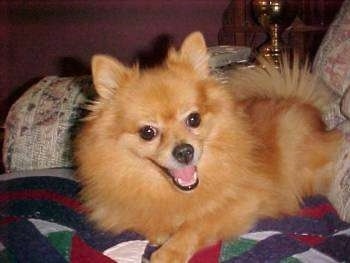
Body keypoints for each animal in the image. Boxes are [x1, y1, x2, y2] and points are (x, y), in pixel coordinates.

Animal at [76, 32, 342, 262]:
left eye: (194, 119)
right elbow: (152, 223)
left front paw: (170, 251)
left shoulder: (241, 203)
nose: (185, 151)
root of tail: (303, 103)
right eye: (147, 132)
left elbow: (196, 224)